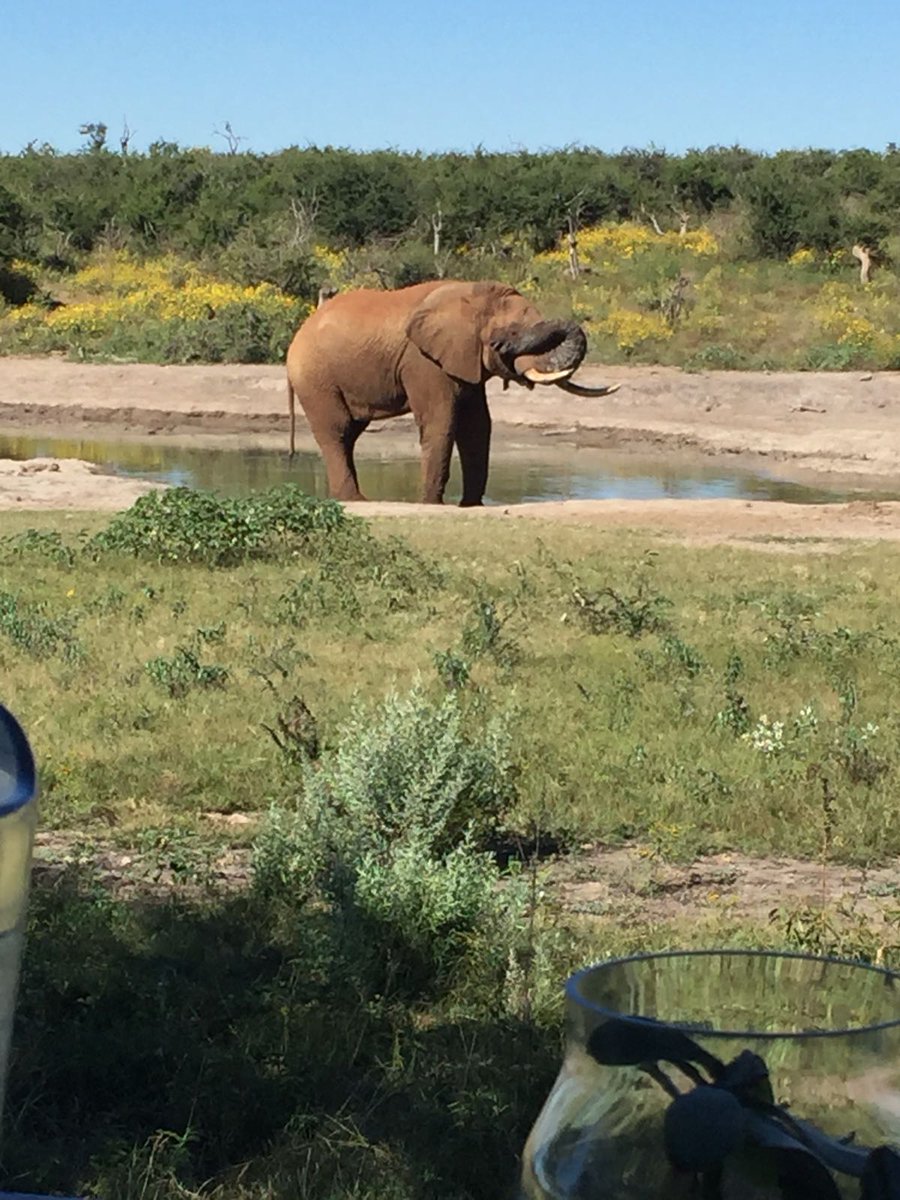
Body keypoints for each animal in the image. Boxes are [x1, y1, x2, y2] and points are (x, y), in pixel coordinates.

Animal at [285, 279, 619, 506]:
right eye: (511, 332)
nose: (502, 345)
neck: (472, 294)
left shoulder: (463, 359)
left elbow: (478, 426)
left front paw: (471, 505)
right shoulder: (423, 361)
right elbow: (441, 421)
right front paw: (431, 505)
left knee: (350, 434)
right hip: (315, 378)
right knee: (337, 430)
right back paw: (356, 500)